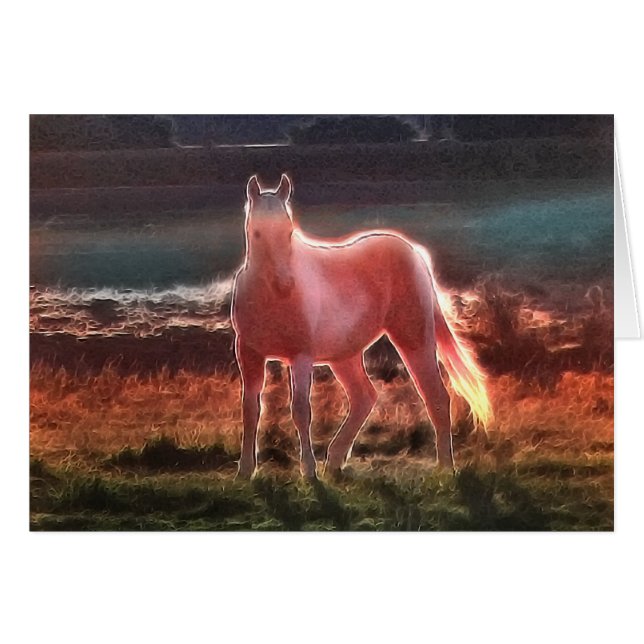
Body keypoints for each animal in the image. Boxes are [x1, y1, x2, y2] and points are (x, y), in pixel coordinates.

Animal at [231, 173, 492, 480]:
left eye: (288, 232)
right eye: (257, 233)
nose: (285, 286)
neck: (268, 299)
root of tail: (414, 253)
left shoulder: (301, 357)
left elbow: (301, 411)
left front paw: (308, 470)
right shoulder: (249, 353)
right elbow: (250, 409)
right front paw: (245, 471)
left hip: (414, 338)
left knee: (436, 396)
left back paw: (445, 466)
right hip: (344, 356)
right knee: (364, 397)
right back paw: (334, 460)